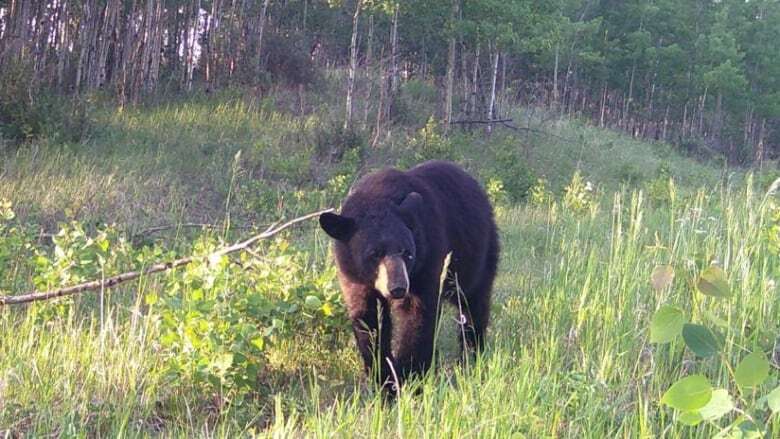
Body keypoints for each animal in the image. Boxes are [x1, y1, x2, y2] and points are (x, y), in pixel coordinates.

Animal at [318, 160, 496, 394]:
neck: (378, 197)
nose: (398, 288)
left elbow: (418, 316)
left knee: (473, 303)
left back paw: (471, 355)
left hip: (476, 255)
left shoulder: (427, 257)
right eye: (374, 254)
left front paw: (408, 377)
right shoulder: (353, 274)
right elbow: (367, 319)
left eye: (407, 252)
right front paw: (383, 378)